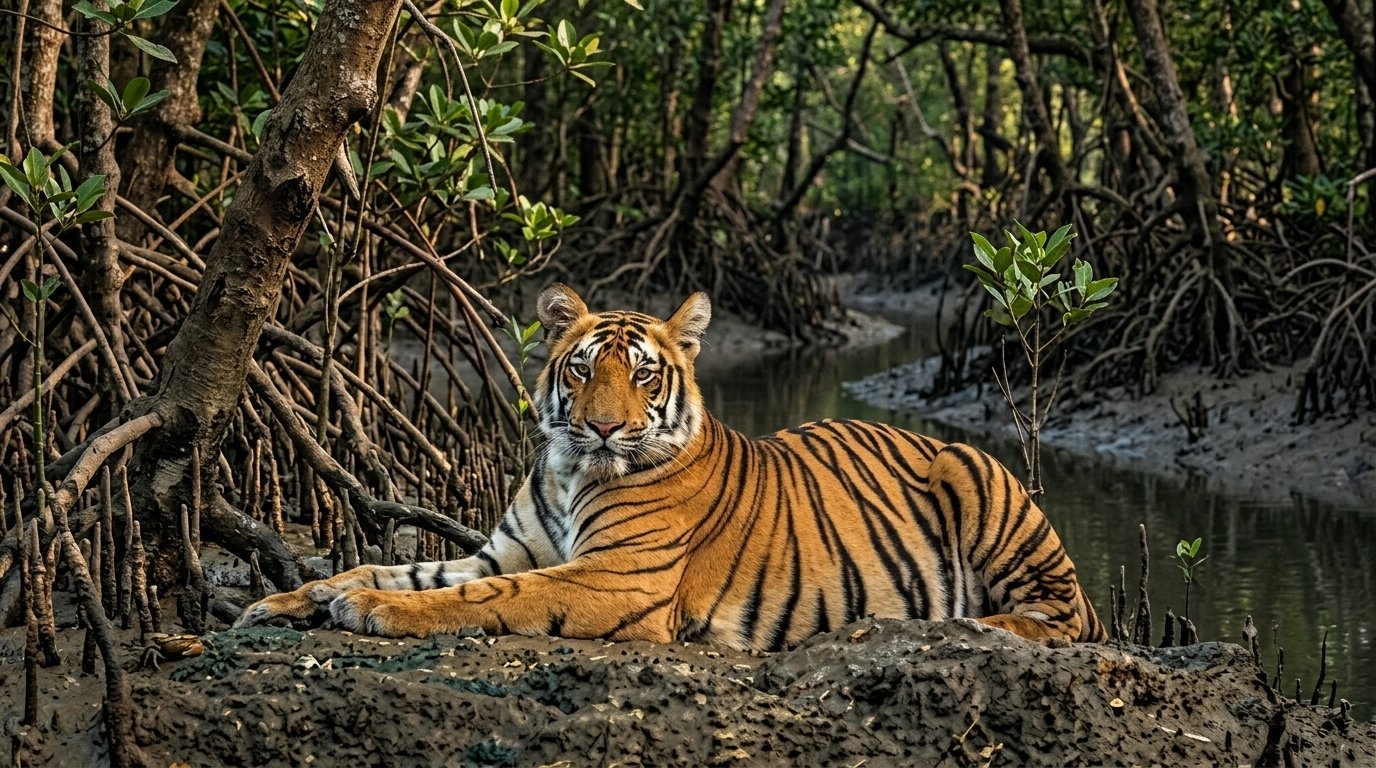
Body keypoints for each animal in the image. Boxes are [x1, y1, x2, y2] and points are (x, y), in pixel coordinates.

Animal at [236, 284, 1106, 649]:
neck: (569, 469)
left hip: (977, 475)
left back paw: (942, 624)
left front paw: (371, 612)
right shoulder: (501, 549)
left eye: (644, 376)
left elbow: (486, 597)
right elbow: (387, 565)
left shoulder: (618, 577)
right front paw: (288, 600)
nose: (602, 426)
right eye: (583, 367)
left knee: (1061, 621)